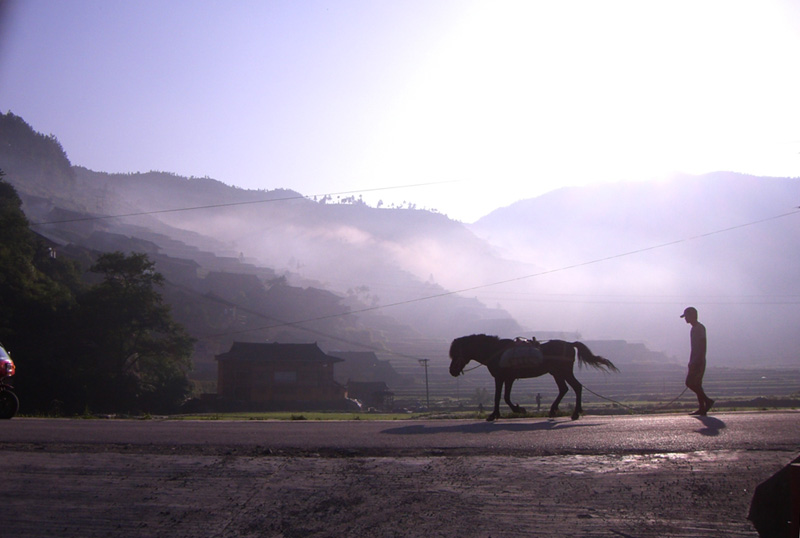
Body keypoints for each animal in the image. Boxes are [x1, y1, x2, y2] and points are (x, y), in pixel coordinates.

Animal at [450, 336, 620, 418]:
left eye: (456, 353)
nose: (452, 371)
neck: (496, 351)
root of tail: (570, 344)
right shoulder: (508, 378)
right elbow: (505, 397)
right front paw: (516, 409)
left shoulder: (501, 377)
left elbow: (499, 397)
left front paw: (497, 414)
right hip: (556, 373)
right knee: (564, 389)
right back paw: (553, 410)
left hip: (564, 371)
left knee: (576, 387)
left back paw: (575, 412)